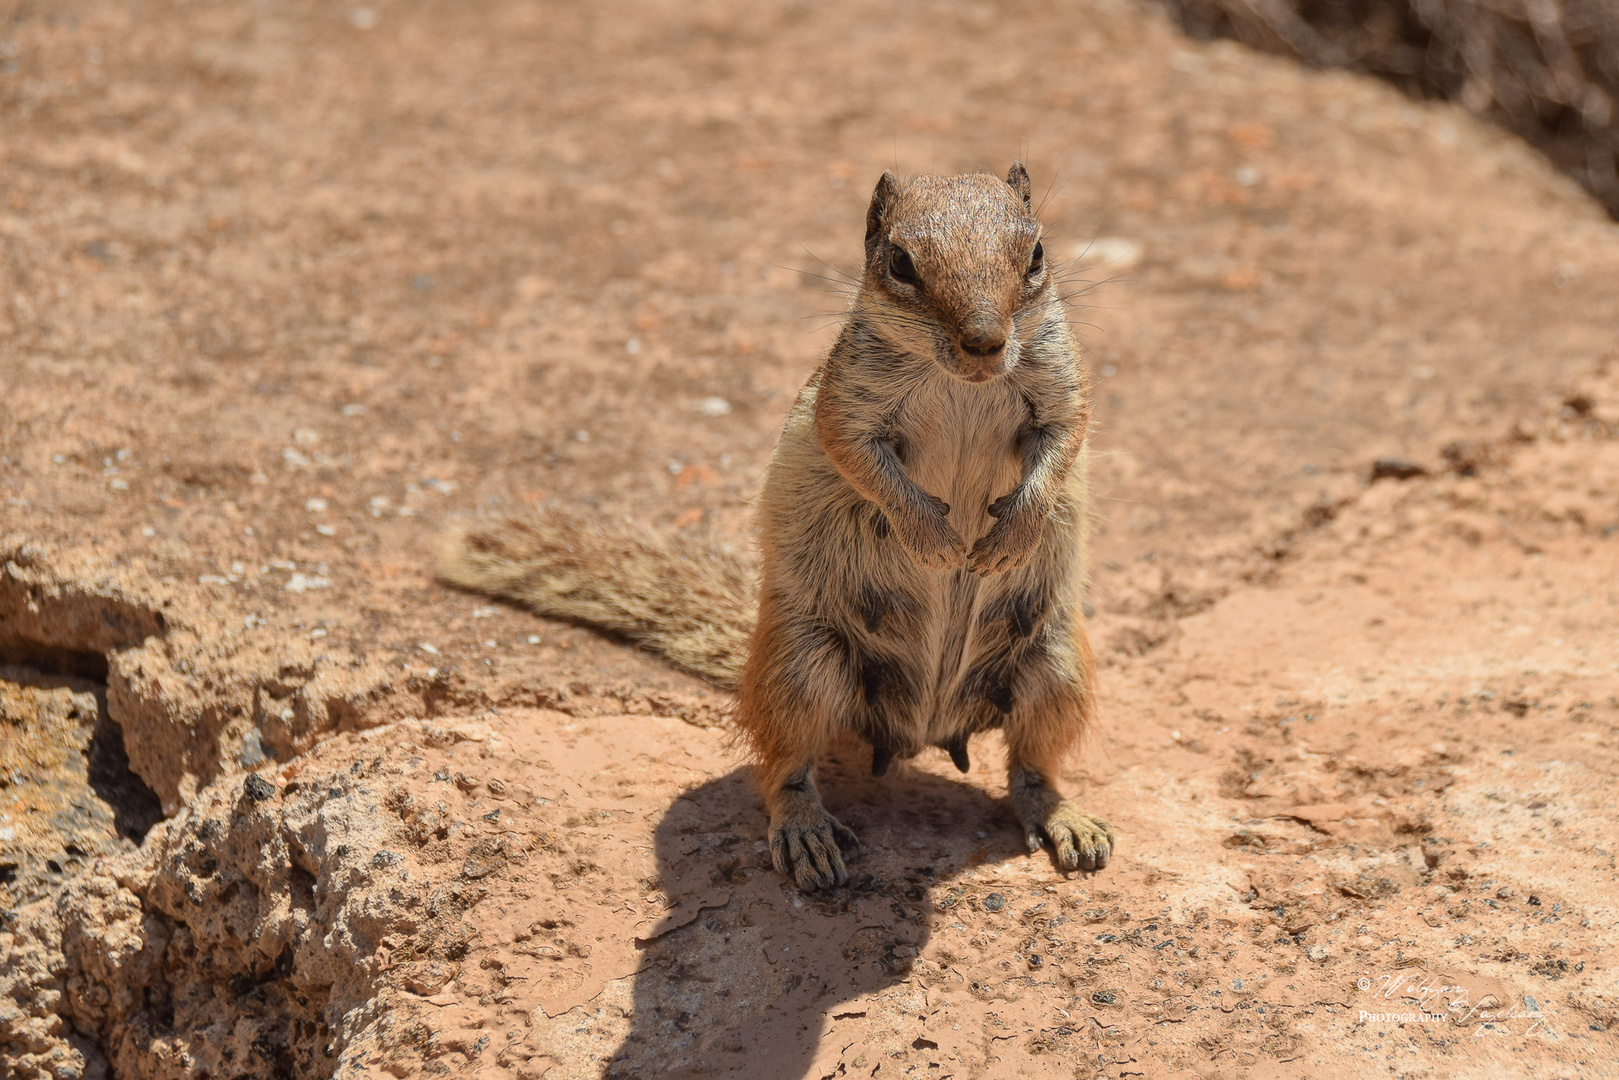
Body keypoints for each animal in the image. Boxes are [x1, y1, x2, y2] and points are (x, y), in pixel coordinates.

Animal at [450, 160, 1120, 887]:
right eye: (901, 263)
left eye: (1037, 254)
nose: (985, 344)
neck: (961, 384)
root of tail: (919, 730)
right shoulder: (847, 403)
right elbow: (858, 457)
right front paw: (934, 541)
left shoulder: (1061, 386)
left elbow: (1064, 444)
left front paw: (1009, 538)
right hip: (801, 667)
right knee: (783, 769)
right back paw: (806, 835)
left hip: (1055, 666)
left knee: (1031, 766)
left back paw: (1066, 820)